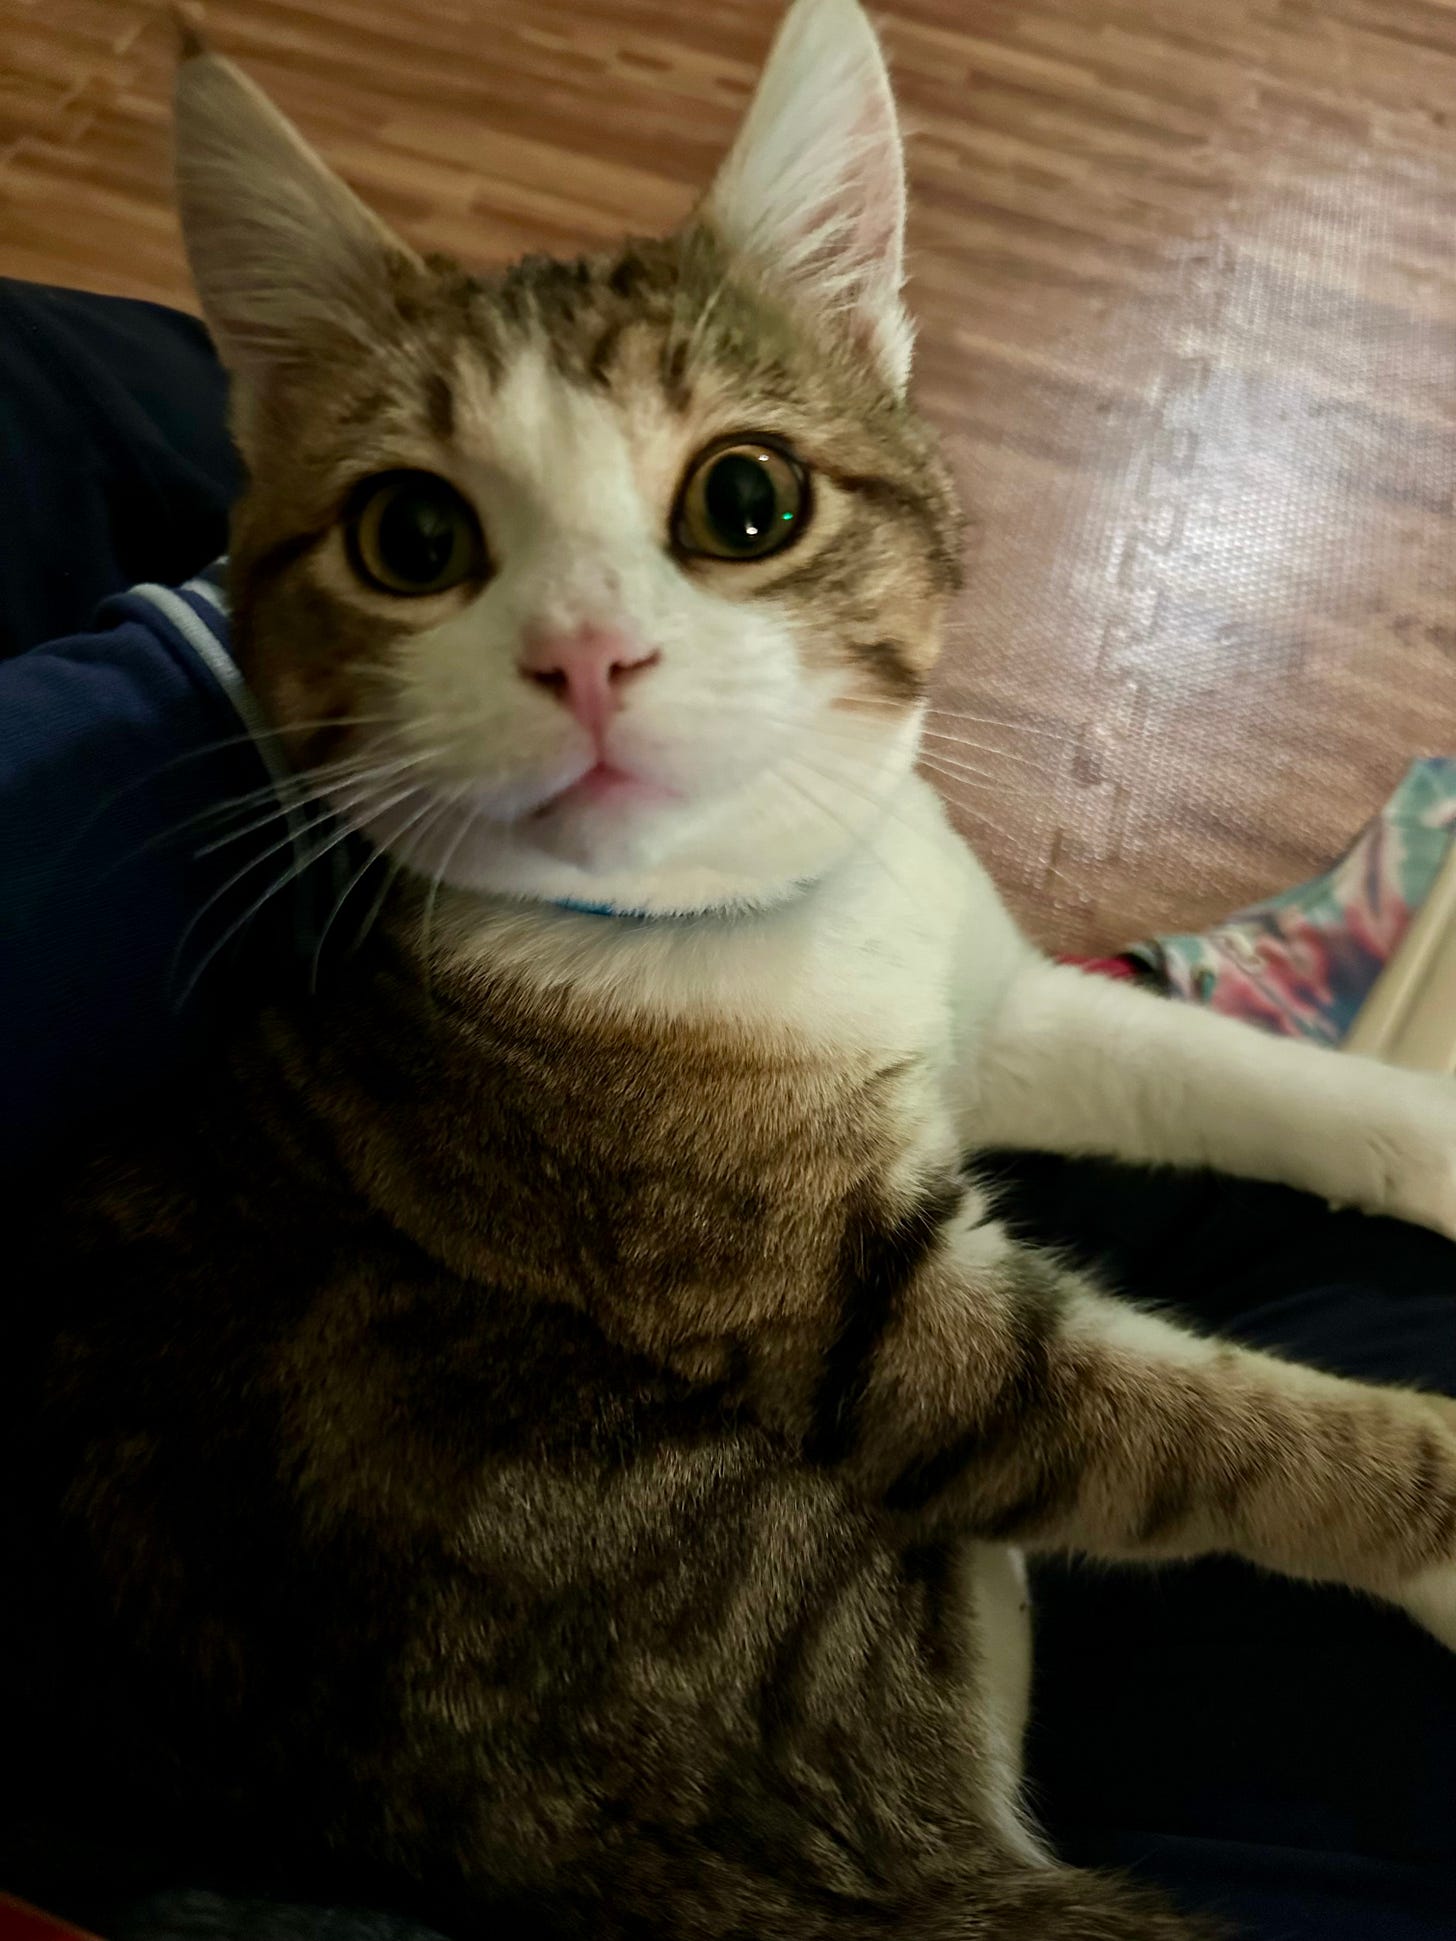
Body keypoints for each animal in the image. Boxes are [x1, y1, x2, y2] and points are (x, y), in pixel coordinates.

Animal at [8, 0, 1456, 1933]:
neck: (742, 927)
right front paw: (1446, 1514)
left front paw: (1426, 1135)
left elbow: (1216, 1072)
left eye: (746, 498)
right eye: (412, 538)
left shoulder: (990, 999)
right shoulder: (826, 1316)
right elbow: (1179, 1432)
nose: (587, 654)